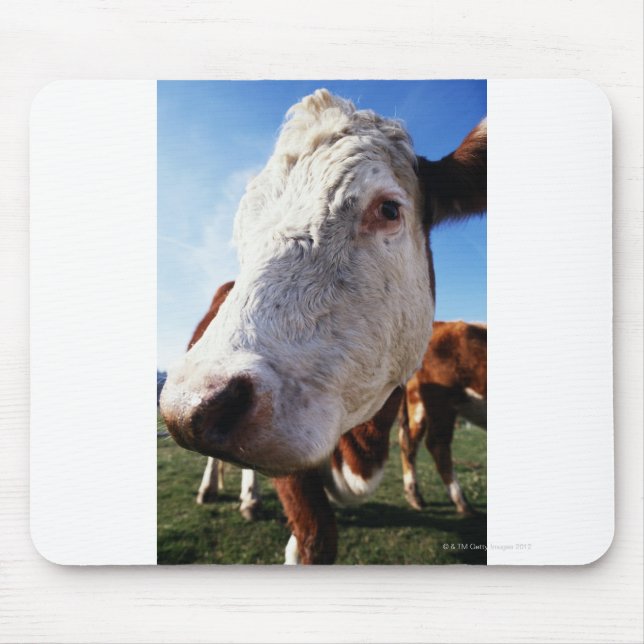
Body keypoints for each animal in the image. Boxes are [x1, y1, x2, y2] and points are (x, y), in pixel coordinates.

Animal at [399, 321, 487, 515]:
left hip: (418, 402)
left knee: (409, 441)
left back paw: (414, 496)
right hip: (441, 400)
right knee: (437, 444)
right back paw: (462, 503)